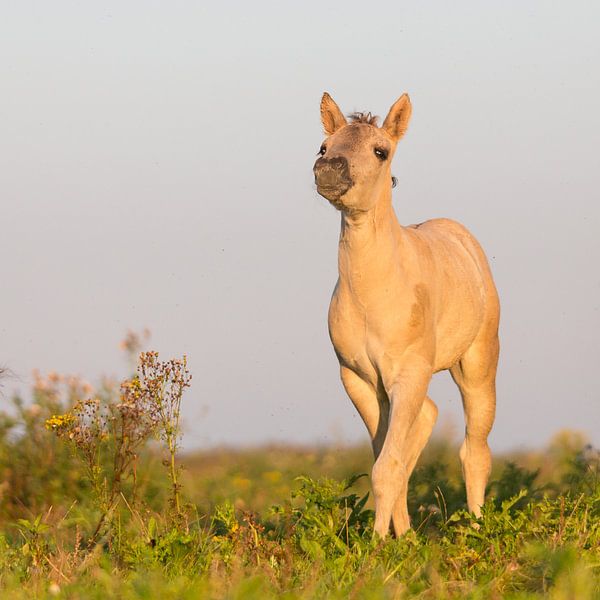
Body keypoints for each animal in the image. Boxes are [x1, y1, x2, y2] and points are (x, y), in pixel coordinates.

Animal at [312, 94, 500, 540]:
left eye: (380, 151)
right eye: (323, 147)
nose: (329, 171)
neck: (374, 295)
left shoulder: (408, 376)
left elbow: (388, 466)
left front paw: (379, 543)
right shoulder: (361, 381)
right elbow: (386, 458)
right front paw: (399, 537)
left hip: (477, 367)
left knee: (475, 450)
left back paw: (477, 530)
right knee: (427, 417)